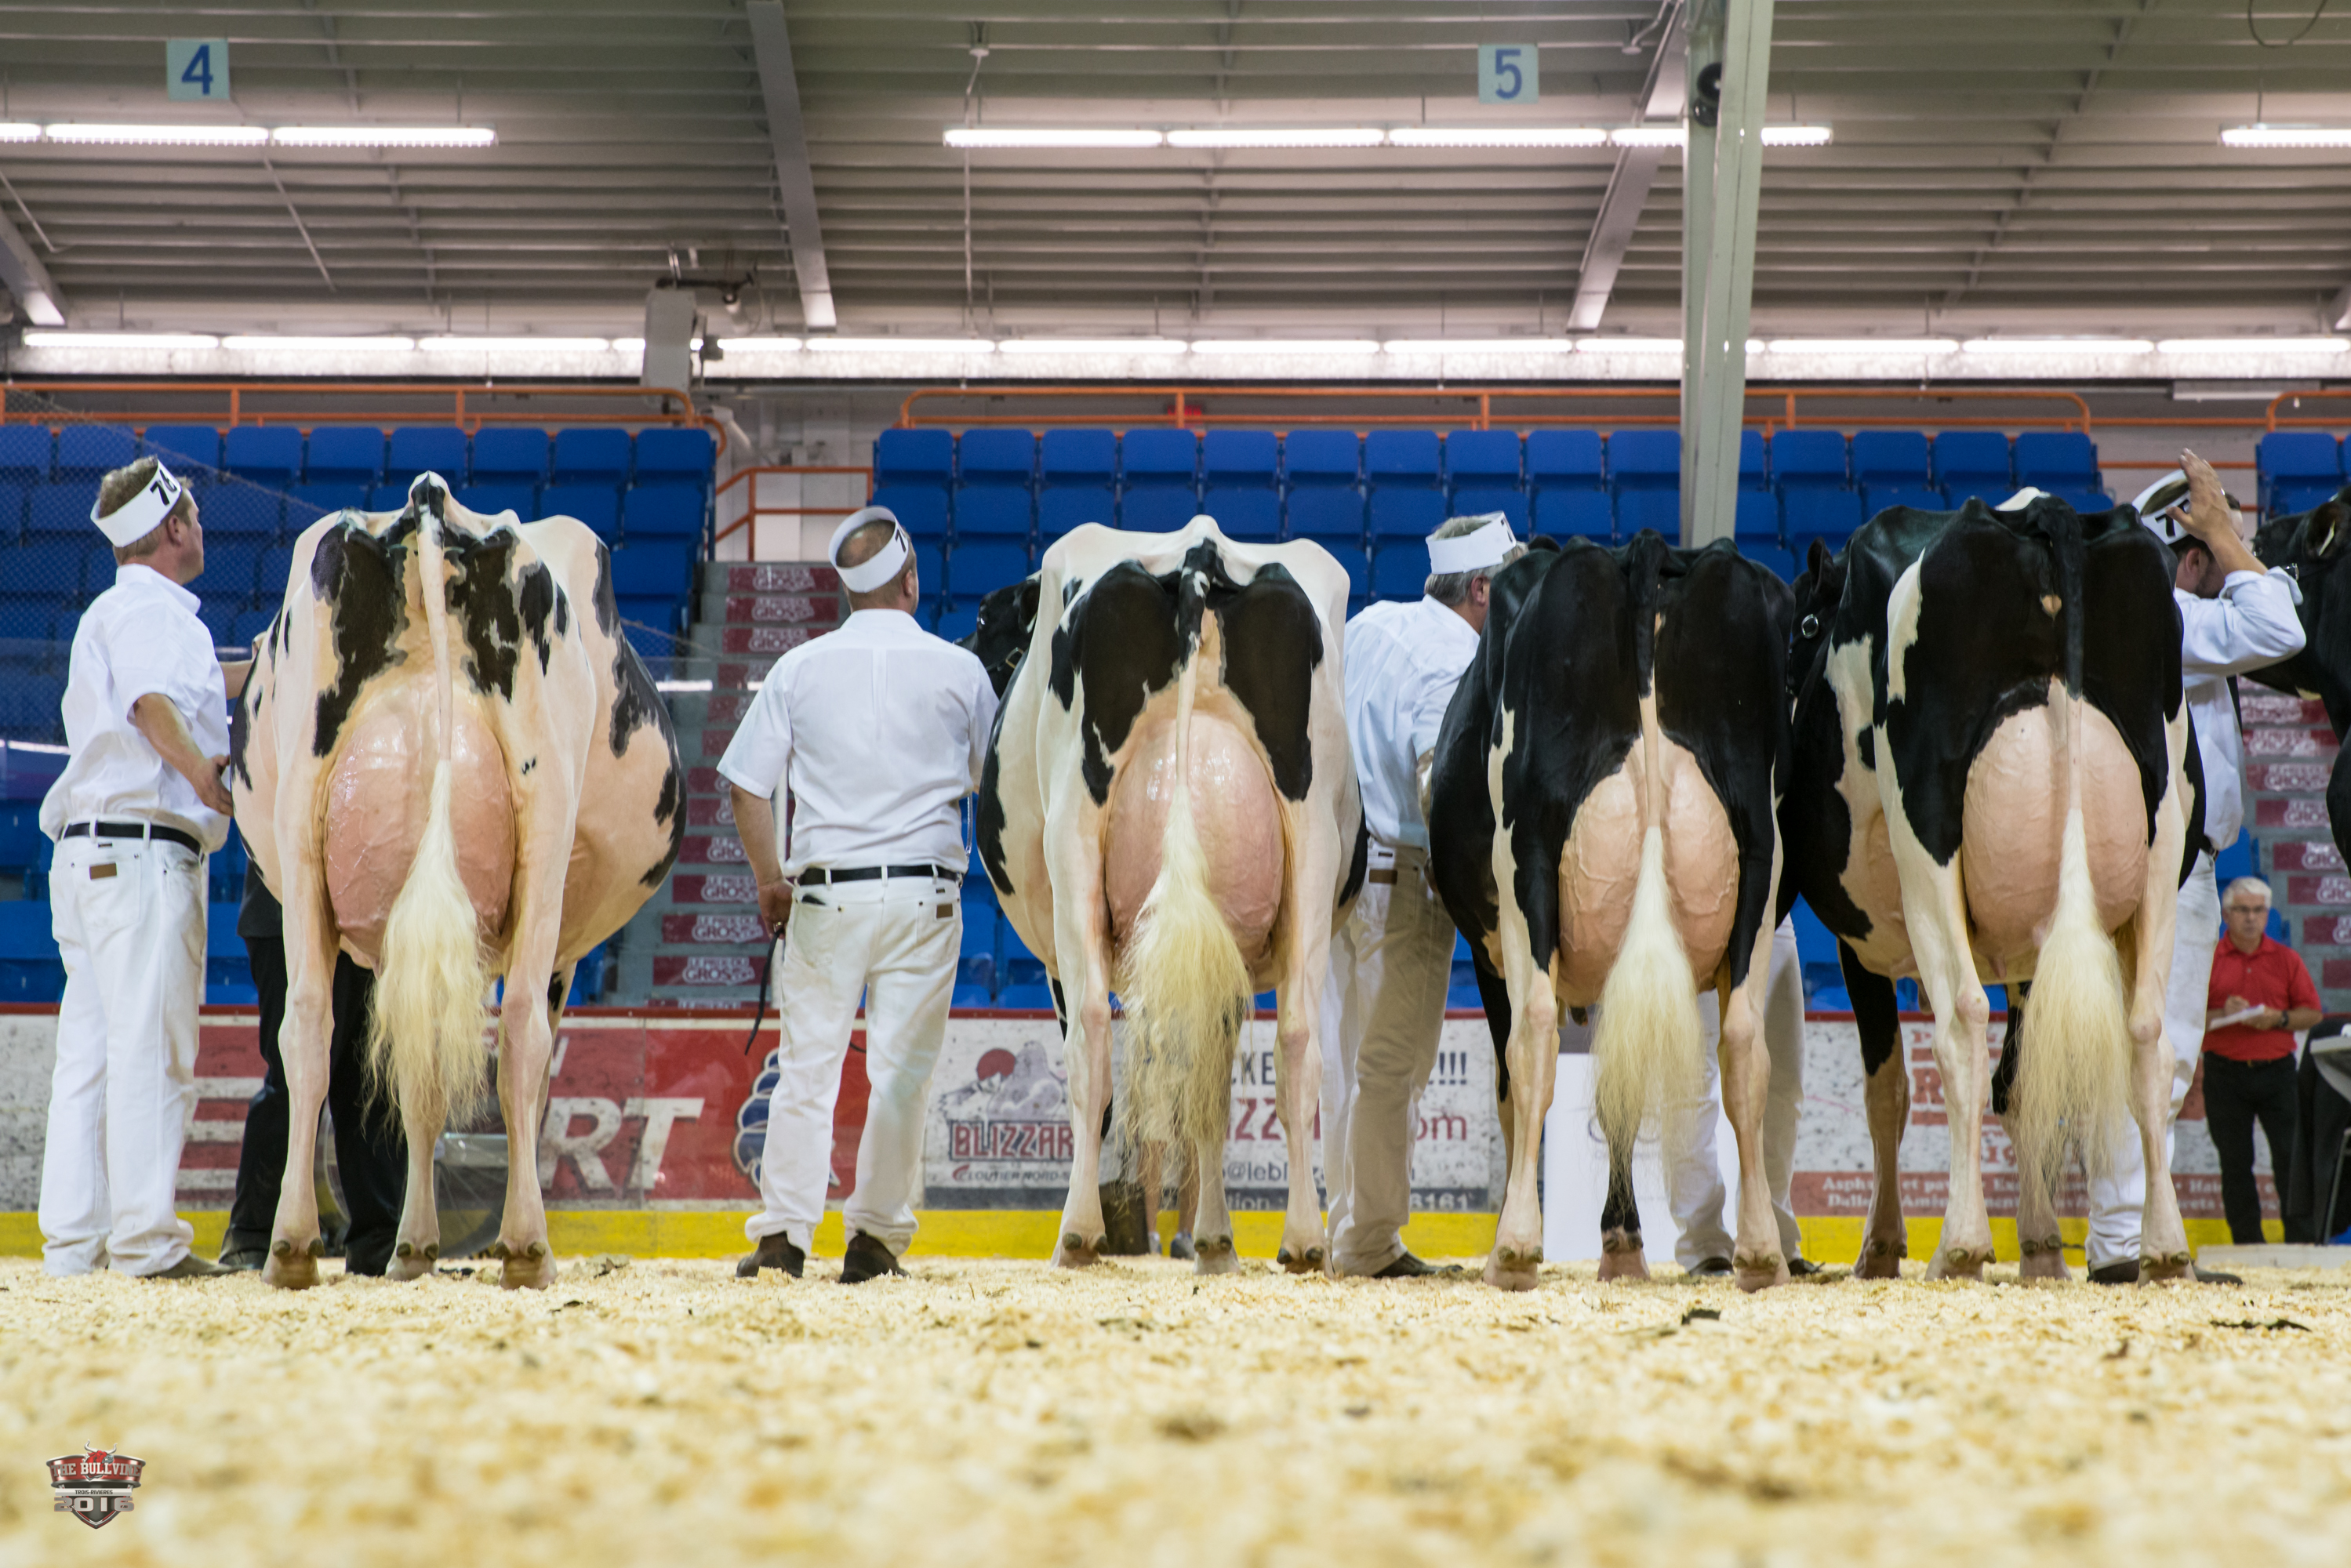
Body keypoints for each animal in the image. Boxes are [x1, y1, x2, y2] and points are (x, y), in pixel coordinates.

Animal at [229, 473, 685, 1290]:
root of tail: (429, 500)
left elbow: (420, 1082)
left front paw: (413, 1245)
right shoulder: (560, 949)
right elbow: (515, 1084)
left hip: (302, 827)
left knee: (308, 1029)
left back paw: (293, 1245)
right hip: (543, 829)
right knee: (523, 1035)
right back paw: (528, 1247)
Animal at [974, 518, 1363, 1274]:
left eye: (982, 623)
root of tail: (1198, 553)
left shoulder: (1057, 958)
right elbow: (1207, 1072)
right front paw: (1214, 1239)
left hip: (1074, 846)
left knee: (1092, 1037)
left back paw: (1077, 1232)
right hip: (1310, 844)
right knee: (1298, 1039)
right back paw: (1304, 1240)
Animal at [1428, 532, 1795, 1292]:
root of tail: (1641, 554)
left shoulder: (1489, 955)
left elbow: (1519, 1090)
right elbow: (1616, 1089)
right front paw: (1624, 1245)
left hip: (1528, 864)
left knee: (1534, 1037)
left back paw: (1512, 1249)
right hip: (1760, 856)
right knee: (1744, 1045)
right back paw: (1760, 1252)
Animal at [1779, 494, 2199, 1282]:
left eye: (1806, 629)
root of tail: (2041, 515)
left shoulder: (1861, 940)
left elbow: (1889, 1090)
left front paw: (1882, 1245)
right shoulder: (2028, 956)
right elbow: (2025, 1086)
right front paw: (2041, 1246)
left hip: (1928, 842)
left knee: (1962, 1025)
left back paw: (1961, 1242)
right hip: (2161, 830)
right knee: (2146, 1034)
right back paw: (2164, 1248)